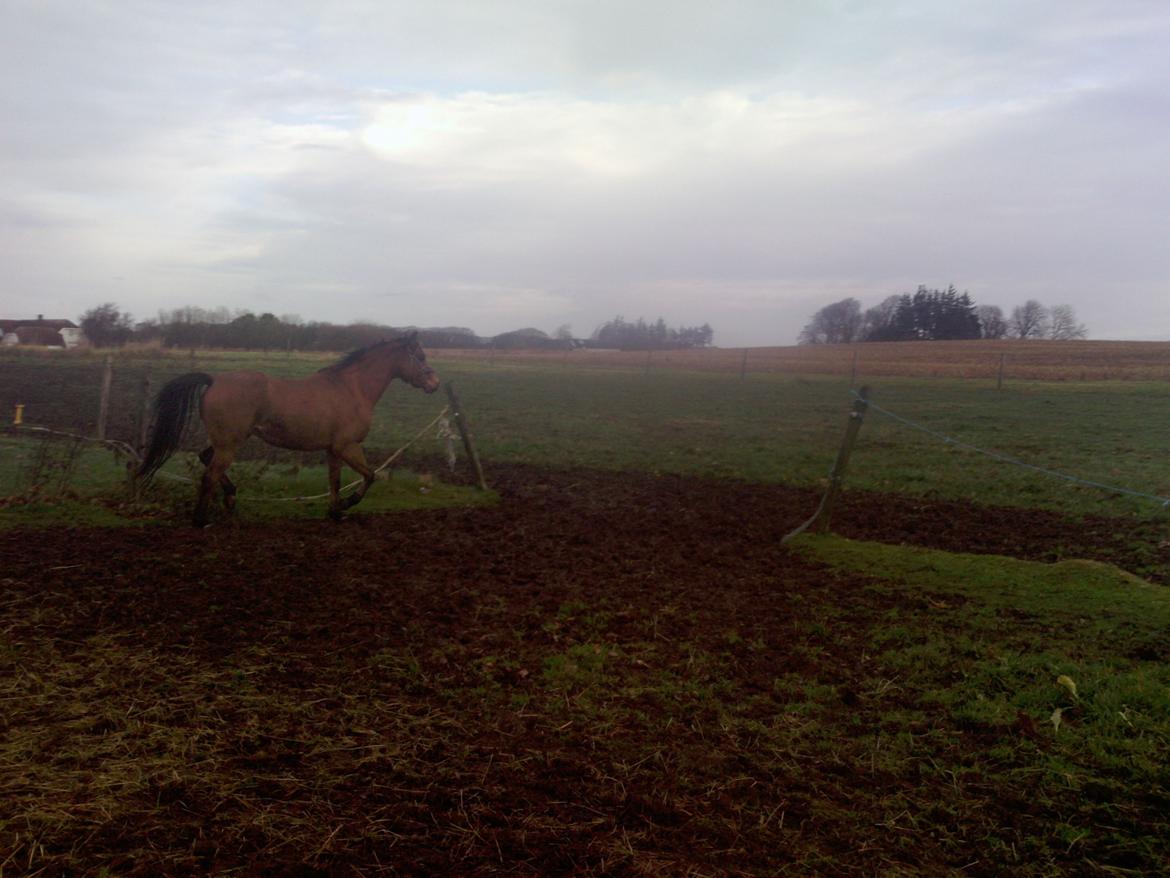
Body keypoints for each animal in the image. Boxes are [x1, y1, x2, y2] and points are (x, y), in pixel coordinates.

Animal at [136, 332, 440, 526]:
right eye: (420, 355)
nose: (434, 384)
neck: (352, 389)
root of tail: (214, 380)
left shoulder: (333, 450)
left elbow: (335, 481)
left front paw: (335, 512)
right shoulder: (348, 446)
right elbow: (370, 476)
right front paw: (346, 504)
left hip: (226, 440)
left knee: (205, 459)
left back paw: (231, 498)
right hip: (230, 443)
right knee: (209, 475)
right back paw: (202, 520)